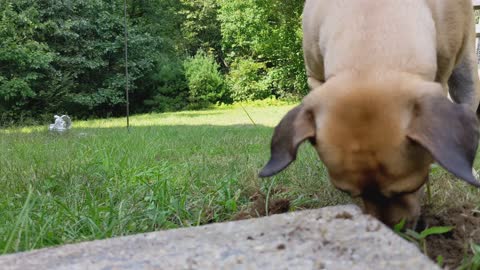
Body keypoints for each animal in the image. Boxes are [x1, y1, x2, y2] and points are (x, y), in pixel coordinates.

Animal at [260, 0, 480, 227]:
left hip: (467, 71)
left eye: (411, 188)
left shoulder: (441, 76)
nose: (394, 229)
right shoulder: (315, 78)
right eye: (348, 192)